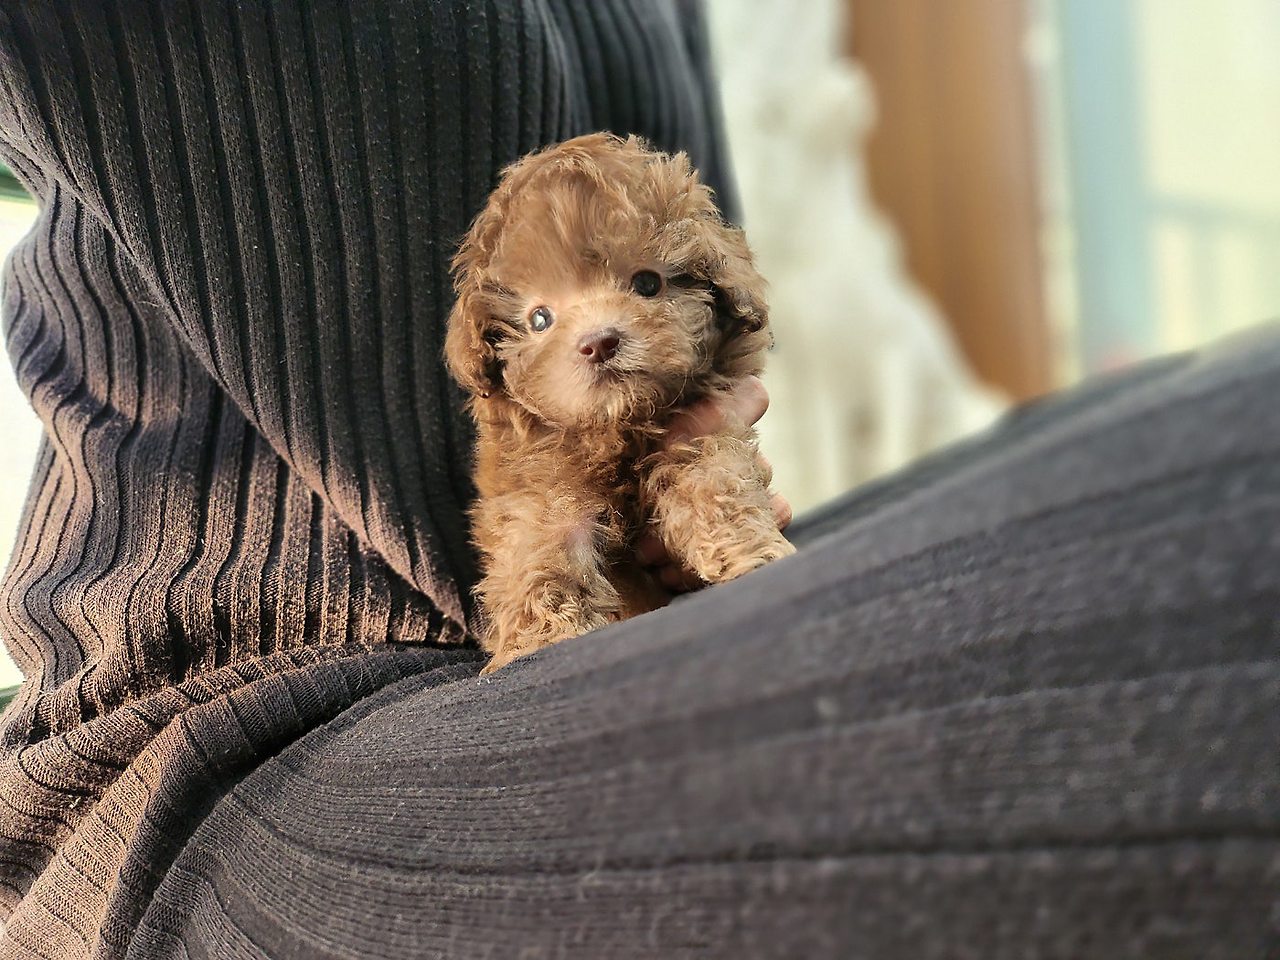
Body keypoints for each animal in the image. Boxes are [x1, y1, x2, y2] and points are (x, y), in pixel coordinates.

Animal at [446, 133, 795, 673]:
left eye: (648, 283)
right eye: (540, 319)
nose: (599, 342)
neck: (619, 426)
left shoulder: (702, 428)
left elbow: (715, 482)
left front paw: (751, 551)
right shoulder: (542, 483)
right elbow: (543, 546)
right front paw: (539, 640)